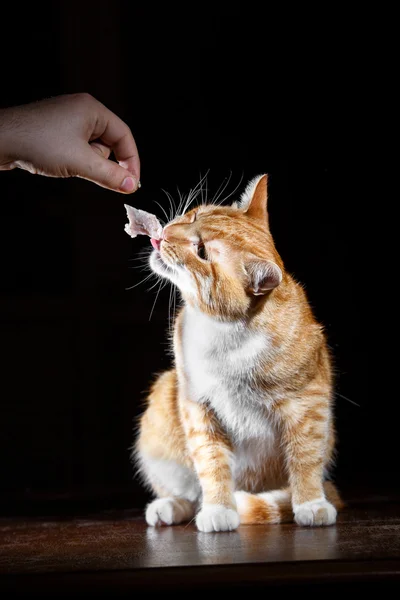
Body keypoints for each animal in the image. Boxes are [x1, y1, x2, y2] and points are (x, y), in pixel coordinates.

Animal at [133, 176, 342, 532]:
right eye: (194, 215)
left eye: (202, 251)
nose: (162, 235)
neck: (221, 331)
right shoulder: (198, 405)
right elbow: (211, 461)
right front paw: (219, 507)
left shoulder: (308, 402)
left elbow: (305, 456)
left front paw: (310, 503)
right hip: (162, 400)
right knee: (189, 493)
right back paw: (172, 506)